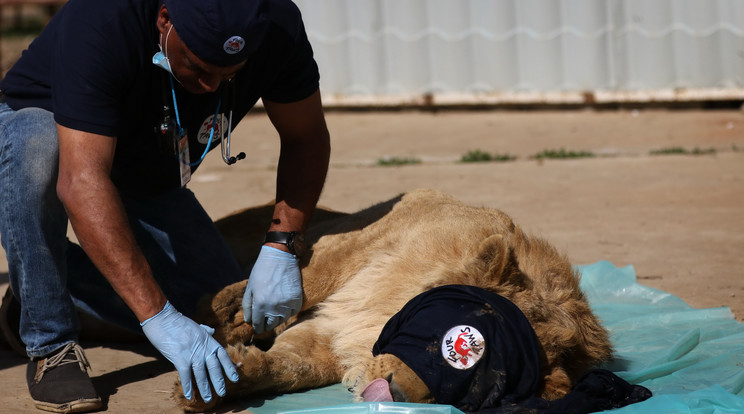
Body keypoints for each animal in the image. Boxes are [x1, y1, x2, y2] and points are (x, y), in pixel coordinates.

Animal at [177, 189, 612, 412]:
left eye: (467, 389)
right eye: (452, 344)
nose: (397, 397)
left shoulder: (327, 340)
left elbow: (288, 368)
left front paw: (221, 381)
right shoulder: (351, 245)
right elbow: (299, 284)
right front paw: (219, 331)